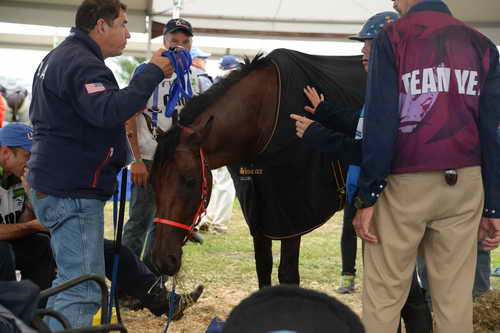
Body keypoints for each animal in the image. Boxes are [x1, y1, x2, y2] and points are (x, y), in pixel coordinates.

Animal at [150, 49, 366, 288]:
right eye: (153, 182)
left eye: (190, 181)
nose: (162, 260)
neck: (264, 117)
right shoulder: (260, 210)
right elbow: (263, 267)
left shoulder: (292, 215)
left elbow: (288, 274)